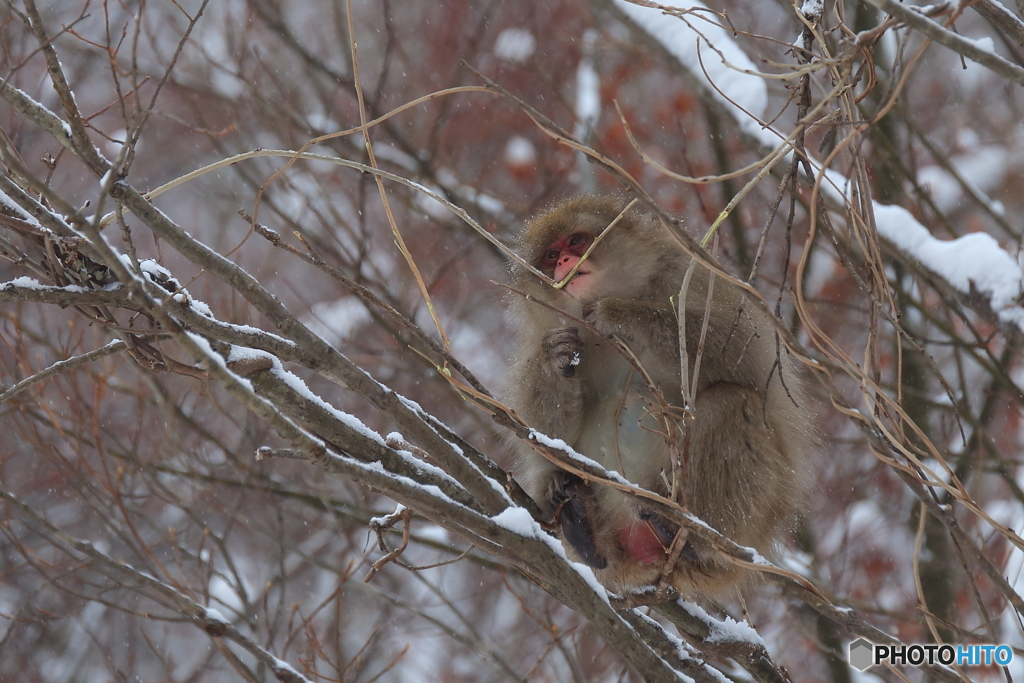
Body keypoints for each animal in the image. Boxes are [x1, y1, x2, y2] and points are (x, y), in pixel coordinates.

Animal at [503, 193, 815, 598]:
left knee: (733, 402)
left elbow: (745, 353)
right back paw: (581, 523)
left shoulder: (690, 273)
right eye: (550, 256)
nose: (565, 265)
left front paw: (622, 315)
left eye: (575, 241)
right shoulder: (549, 321)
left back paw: (694, 537)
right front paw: (554, 357)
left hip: (750, 524)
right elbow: (542, 434)